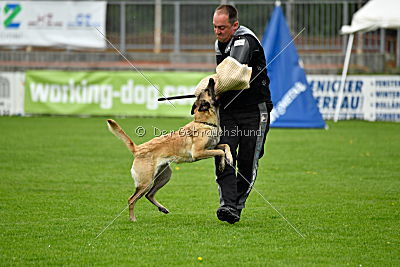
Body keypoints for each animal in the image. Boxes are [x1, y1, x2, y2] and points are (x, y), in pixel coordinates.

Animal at [106, 78, 233, 223]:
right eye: (207, 90)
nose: (211, 79)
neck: (204, 122)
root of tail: (138, 149)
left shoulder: (212, 147)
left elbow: (225, 146)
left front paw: (229, 158)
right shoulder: (198, 153)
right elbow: (221, 152)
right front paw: (223, 163)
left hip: (165, 176)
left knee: (149, 195)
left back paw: (162, 208)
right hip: (146, 182)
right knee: (131, 199)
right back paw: (133, 219)